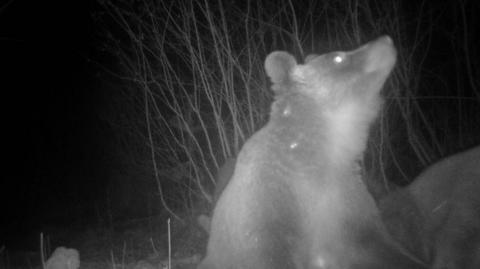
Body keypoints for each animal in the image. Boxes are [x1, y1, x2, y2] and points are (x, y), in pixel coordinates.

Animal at [195, 36, 424, 268]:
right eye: (338, 57)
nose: (385, 40)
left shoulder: (346, 200)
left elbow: (379, 244)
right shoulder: (266, 205)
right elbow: (266, 250)